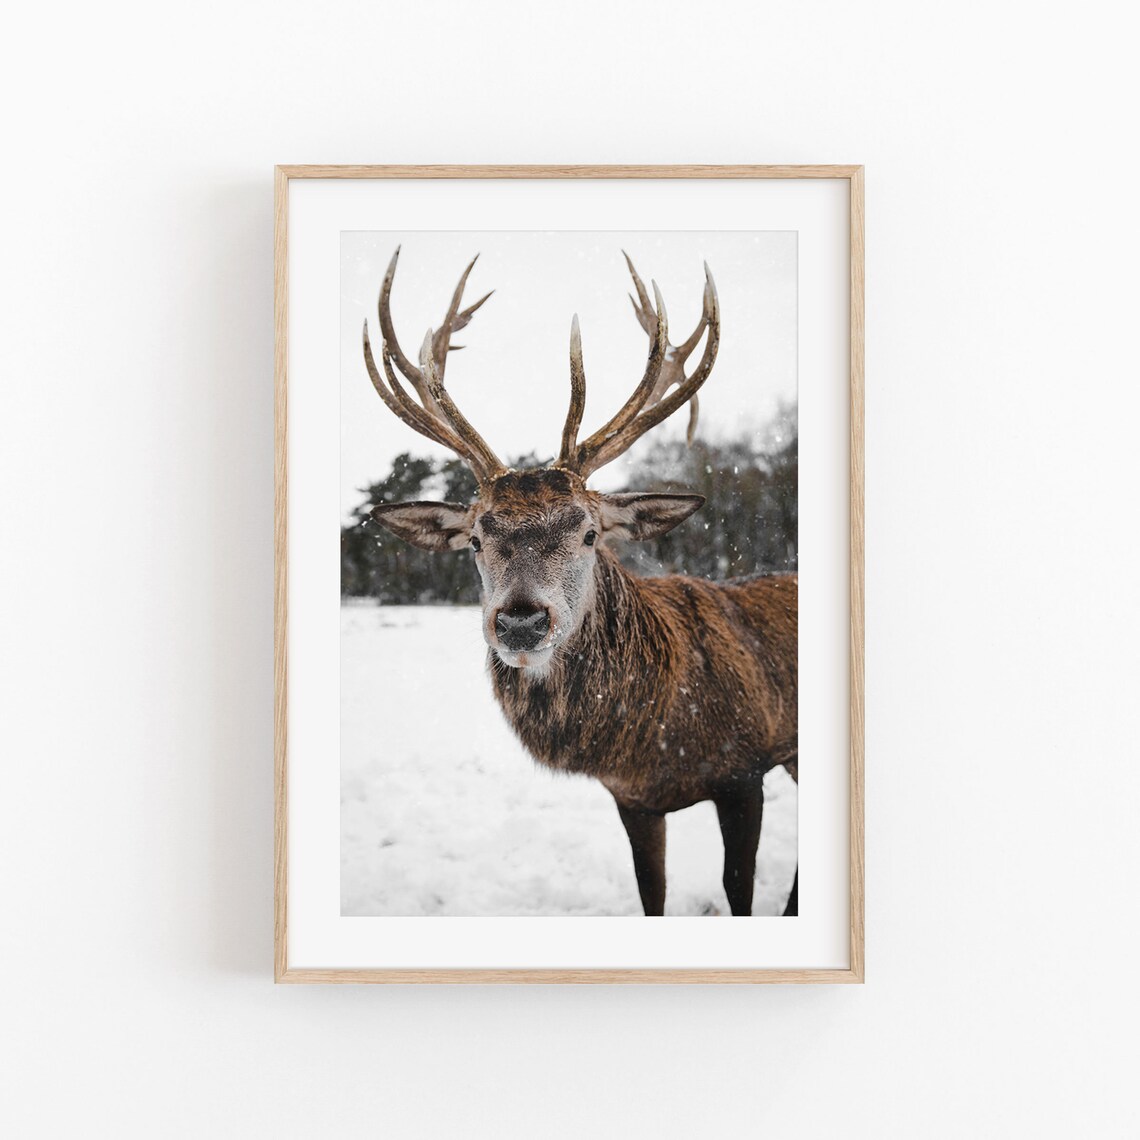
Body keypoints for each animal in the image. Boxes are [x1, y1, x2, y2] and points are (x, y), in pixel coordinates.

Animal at [362, 248, 798, 917]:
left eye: (590, 533)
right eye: (475, 539)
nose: (520, 620)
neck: (658, 740)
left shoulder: (746, 769)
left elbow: (738, 891)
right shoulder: (632, 799)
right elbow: (652, 894)